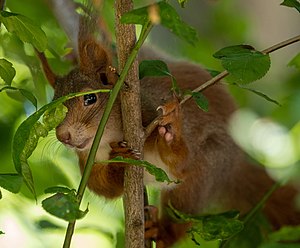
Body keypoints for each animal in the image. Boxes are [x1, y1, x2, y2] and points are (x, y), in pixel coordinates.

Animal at [37, 6, 300, 247]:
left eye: (90, 99)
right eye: (52, 110)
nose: (62, 135)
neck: (107, 138)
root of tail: (236, 164)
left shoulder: (155, 112)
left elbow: (183, 161)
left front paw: (169, 136)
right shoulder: (88, 159)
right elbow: (104, 187)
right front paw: (119, 162)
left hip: (205, 172)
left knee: (182, 208)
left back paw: (161, 231)